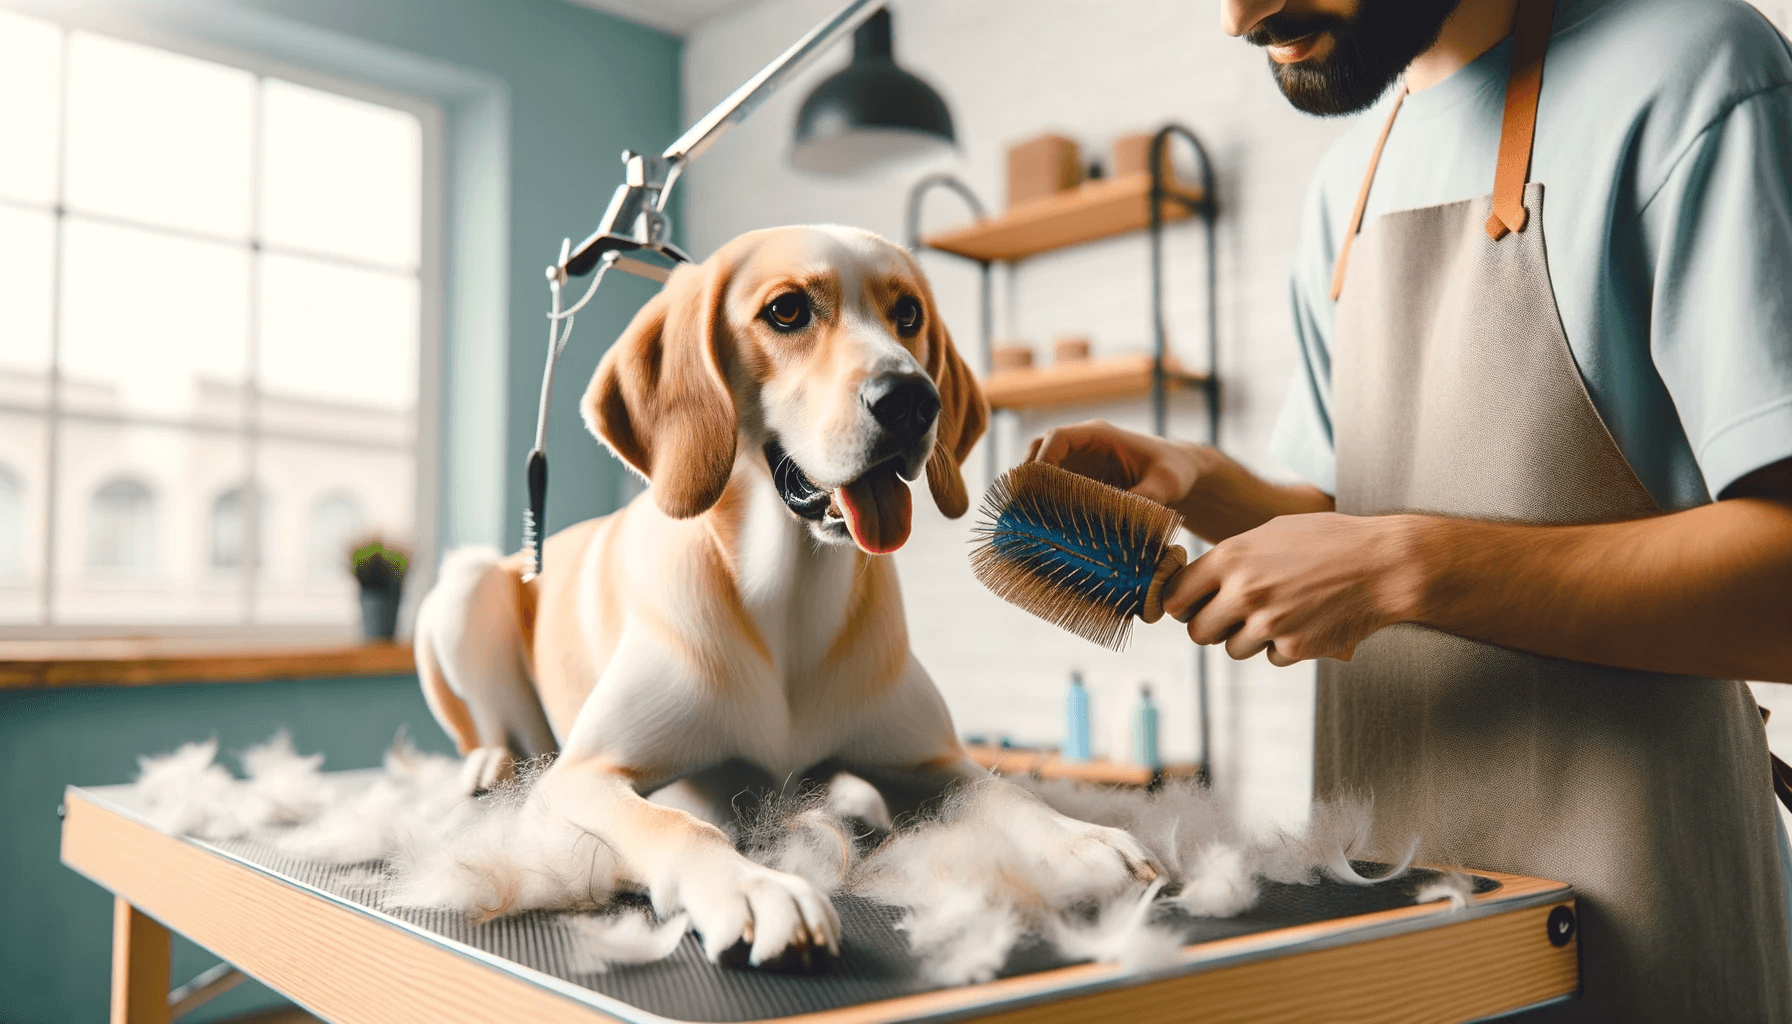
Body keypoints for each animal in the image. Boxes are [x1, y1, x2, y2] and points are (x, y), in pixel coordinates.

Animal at [410, 224, 1154, 968]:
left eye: (908, 315)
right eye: (787, 311)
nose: (912, 401)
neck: (789, 596)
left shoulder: (933, 762)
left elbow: (1007, 792)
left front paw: (1081, 838)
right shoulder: (583, 776)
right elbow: (678, 823)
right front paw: (753, 889)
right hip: (465, 588)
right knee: (497, 728)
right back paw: (490, 764)